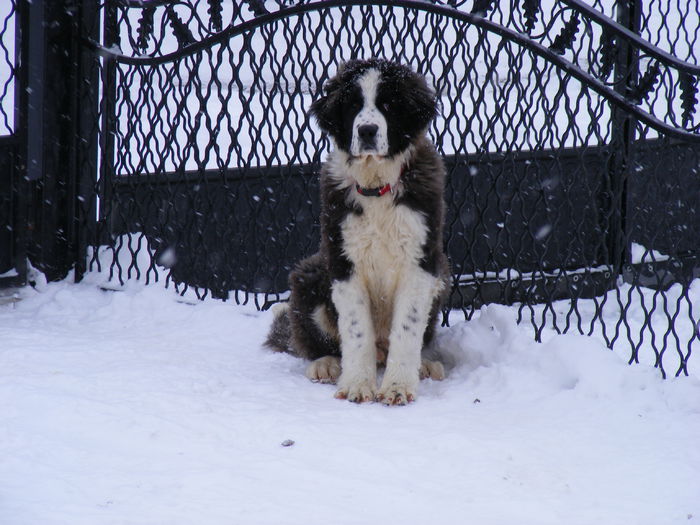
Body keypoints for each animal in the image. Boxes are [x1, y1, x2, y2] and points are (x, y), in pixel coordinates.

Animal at [266, 59, 452, 406]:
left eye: (388, 105)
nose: (367, 131)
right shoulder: (342, 261)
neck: (377, 186)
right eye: (352, 105)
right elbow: (355, 331)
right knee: (316, 342)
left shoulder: (421, 262)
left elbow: (407, 330)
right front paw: (357, 385)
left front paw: (397, 386)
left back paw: (425, 364)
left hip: (442, 272)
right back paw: (325, 364)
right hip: (310, 275)